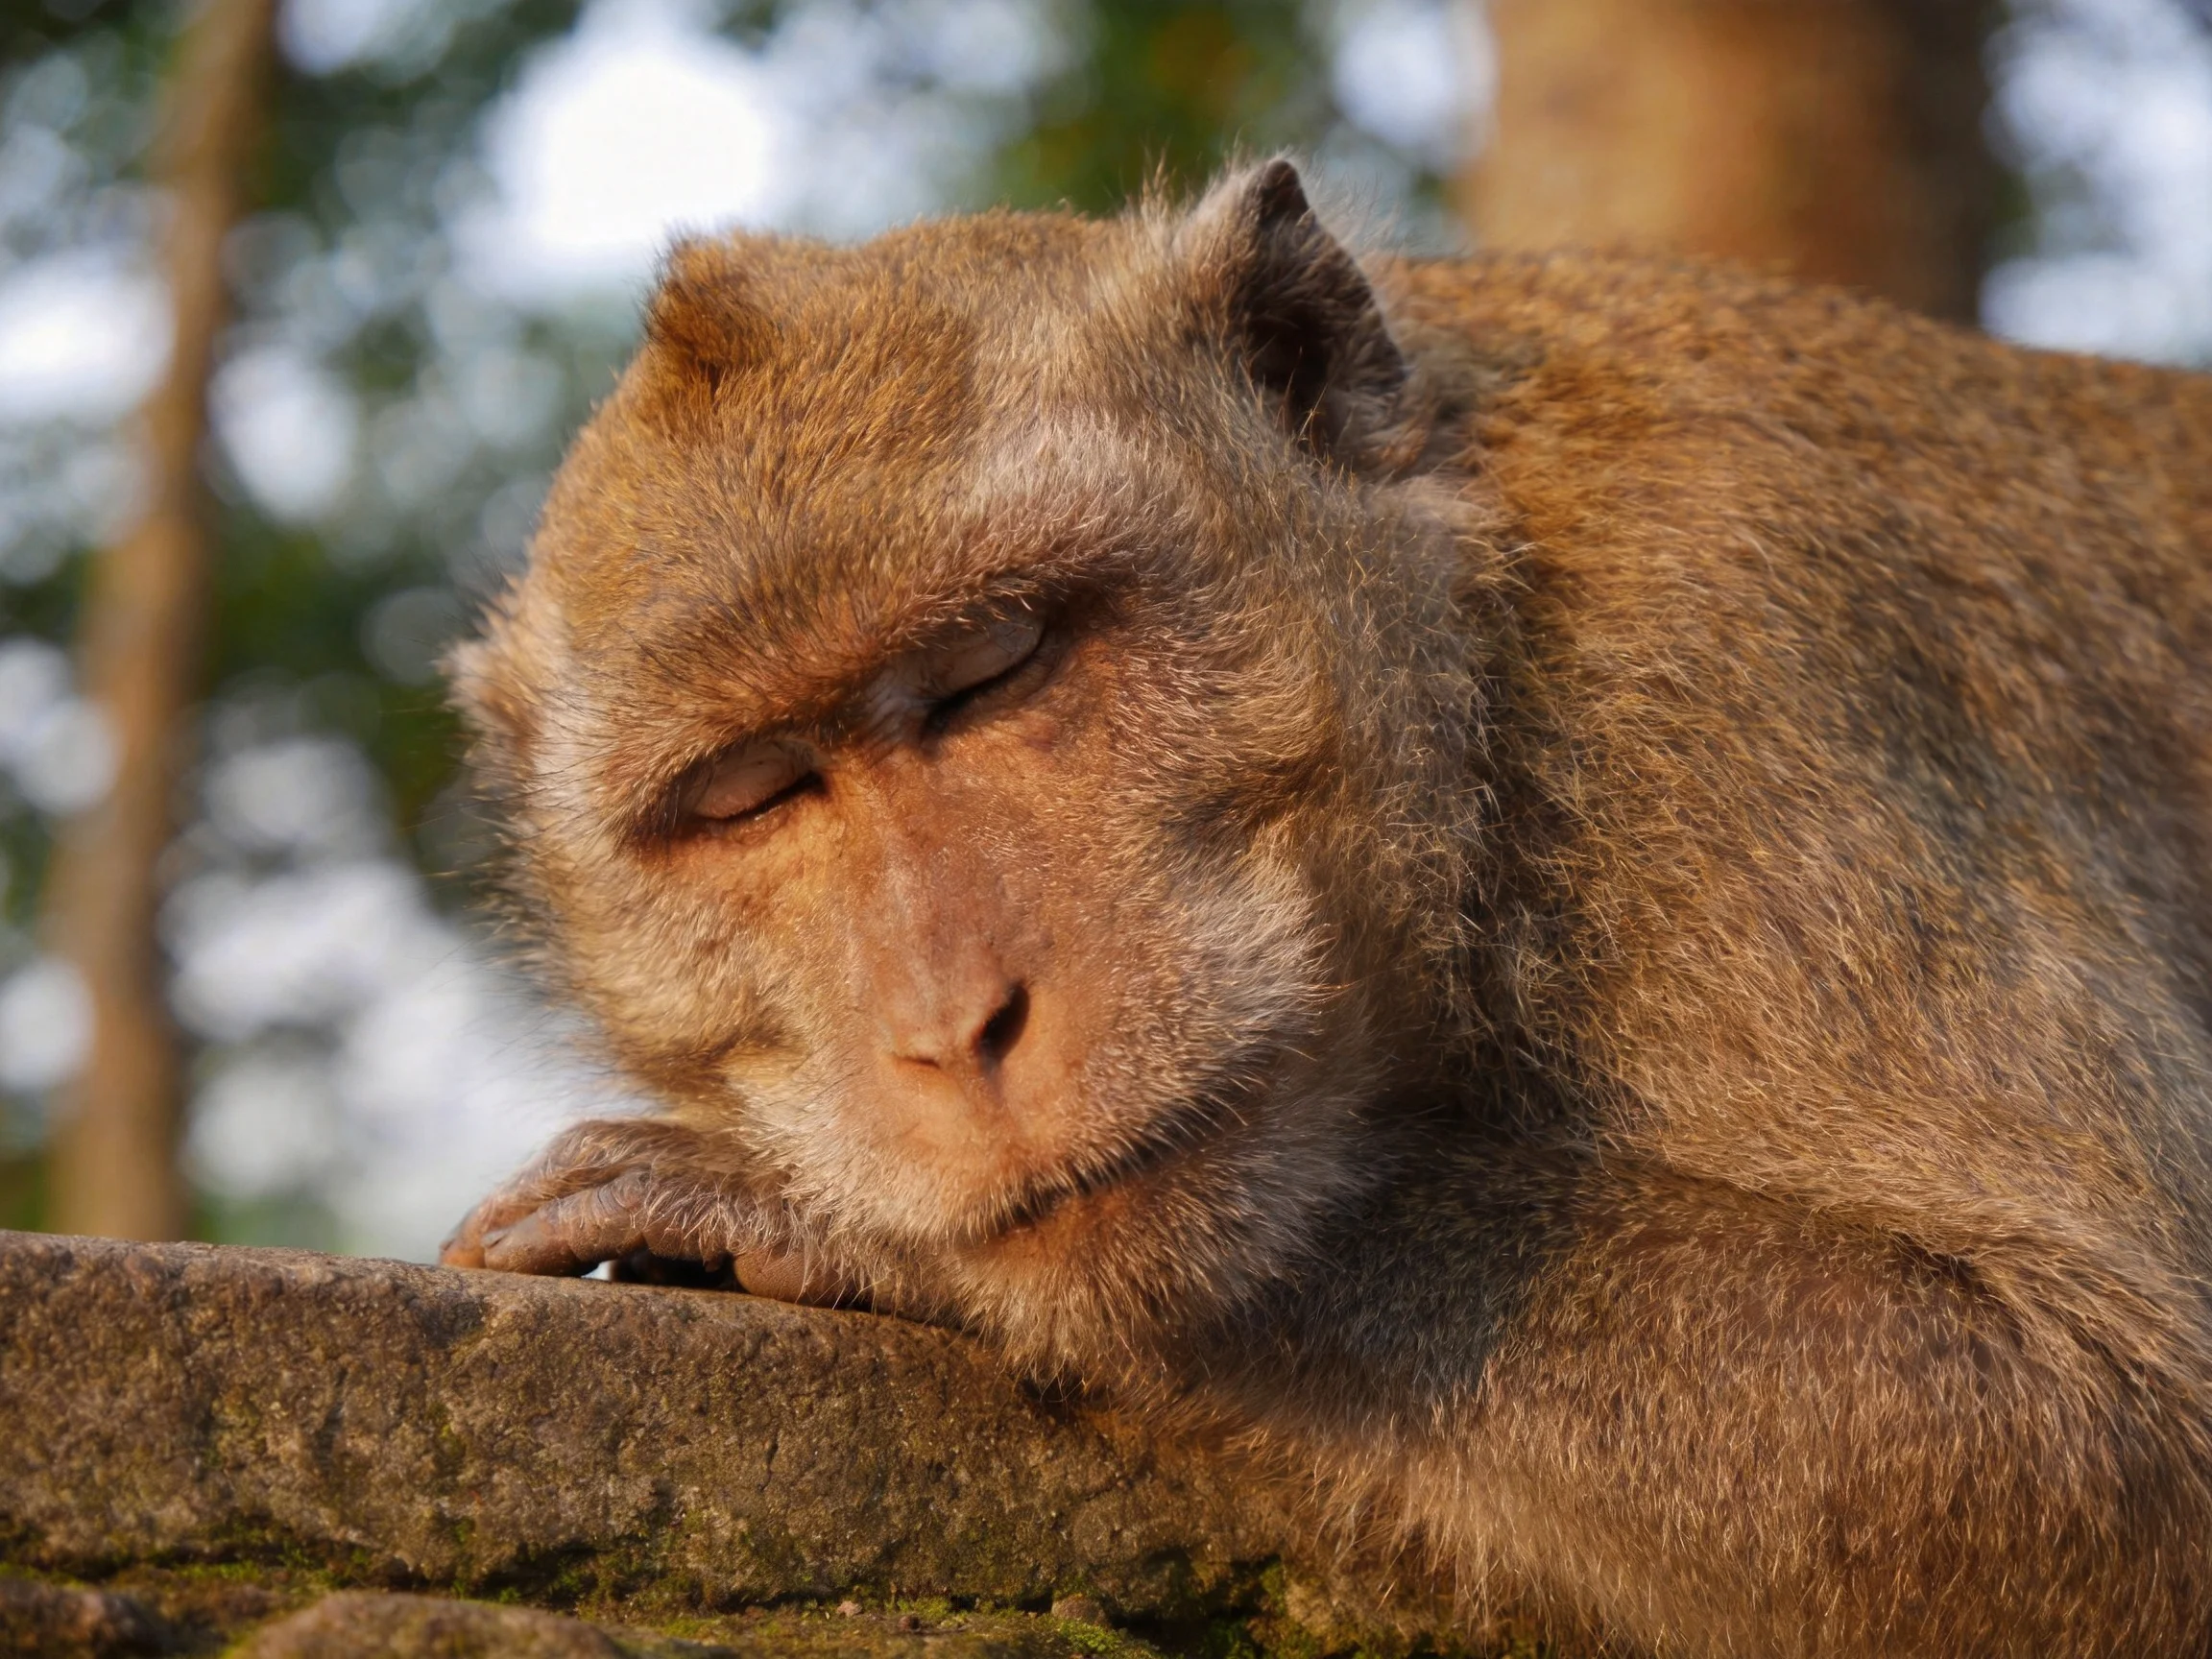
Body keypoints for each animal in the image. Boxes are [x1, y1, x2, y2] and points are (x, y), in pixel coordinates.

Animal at [438, 159, 2212, 1656]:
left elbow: (2099, 1428)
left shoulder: (1742, 642)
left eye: (994, 665)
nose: (954, 1025)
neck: (1482, 642)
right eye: (749, 791)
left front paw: (808, 1213)